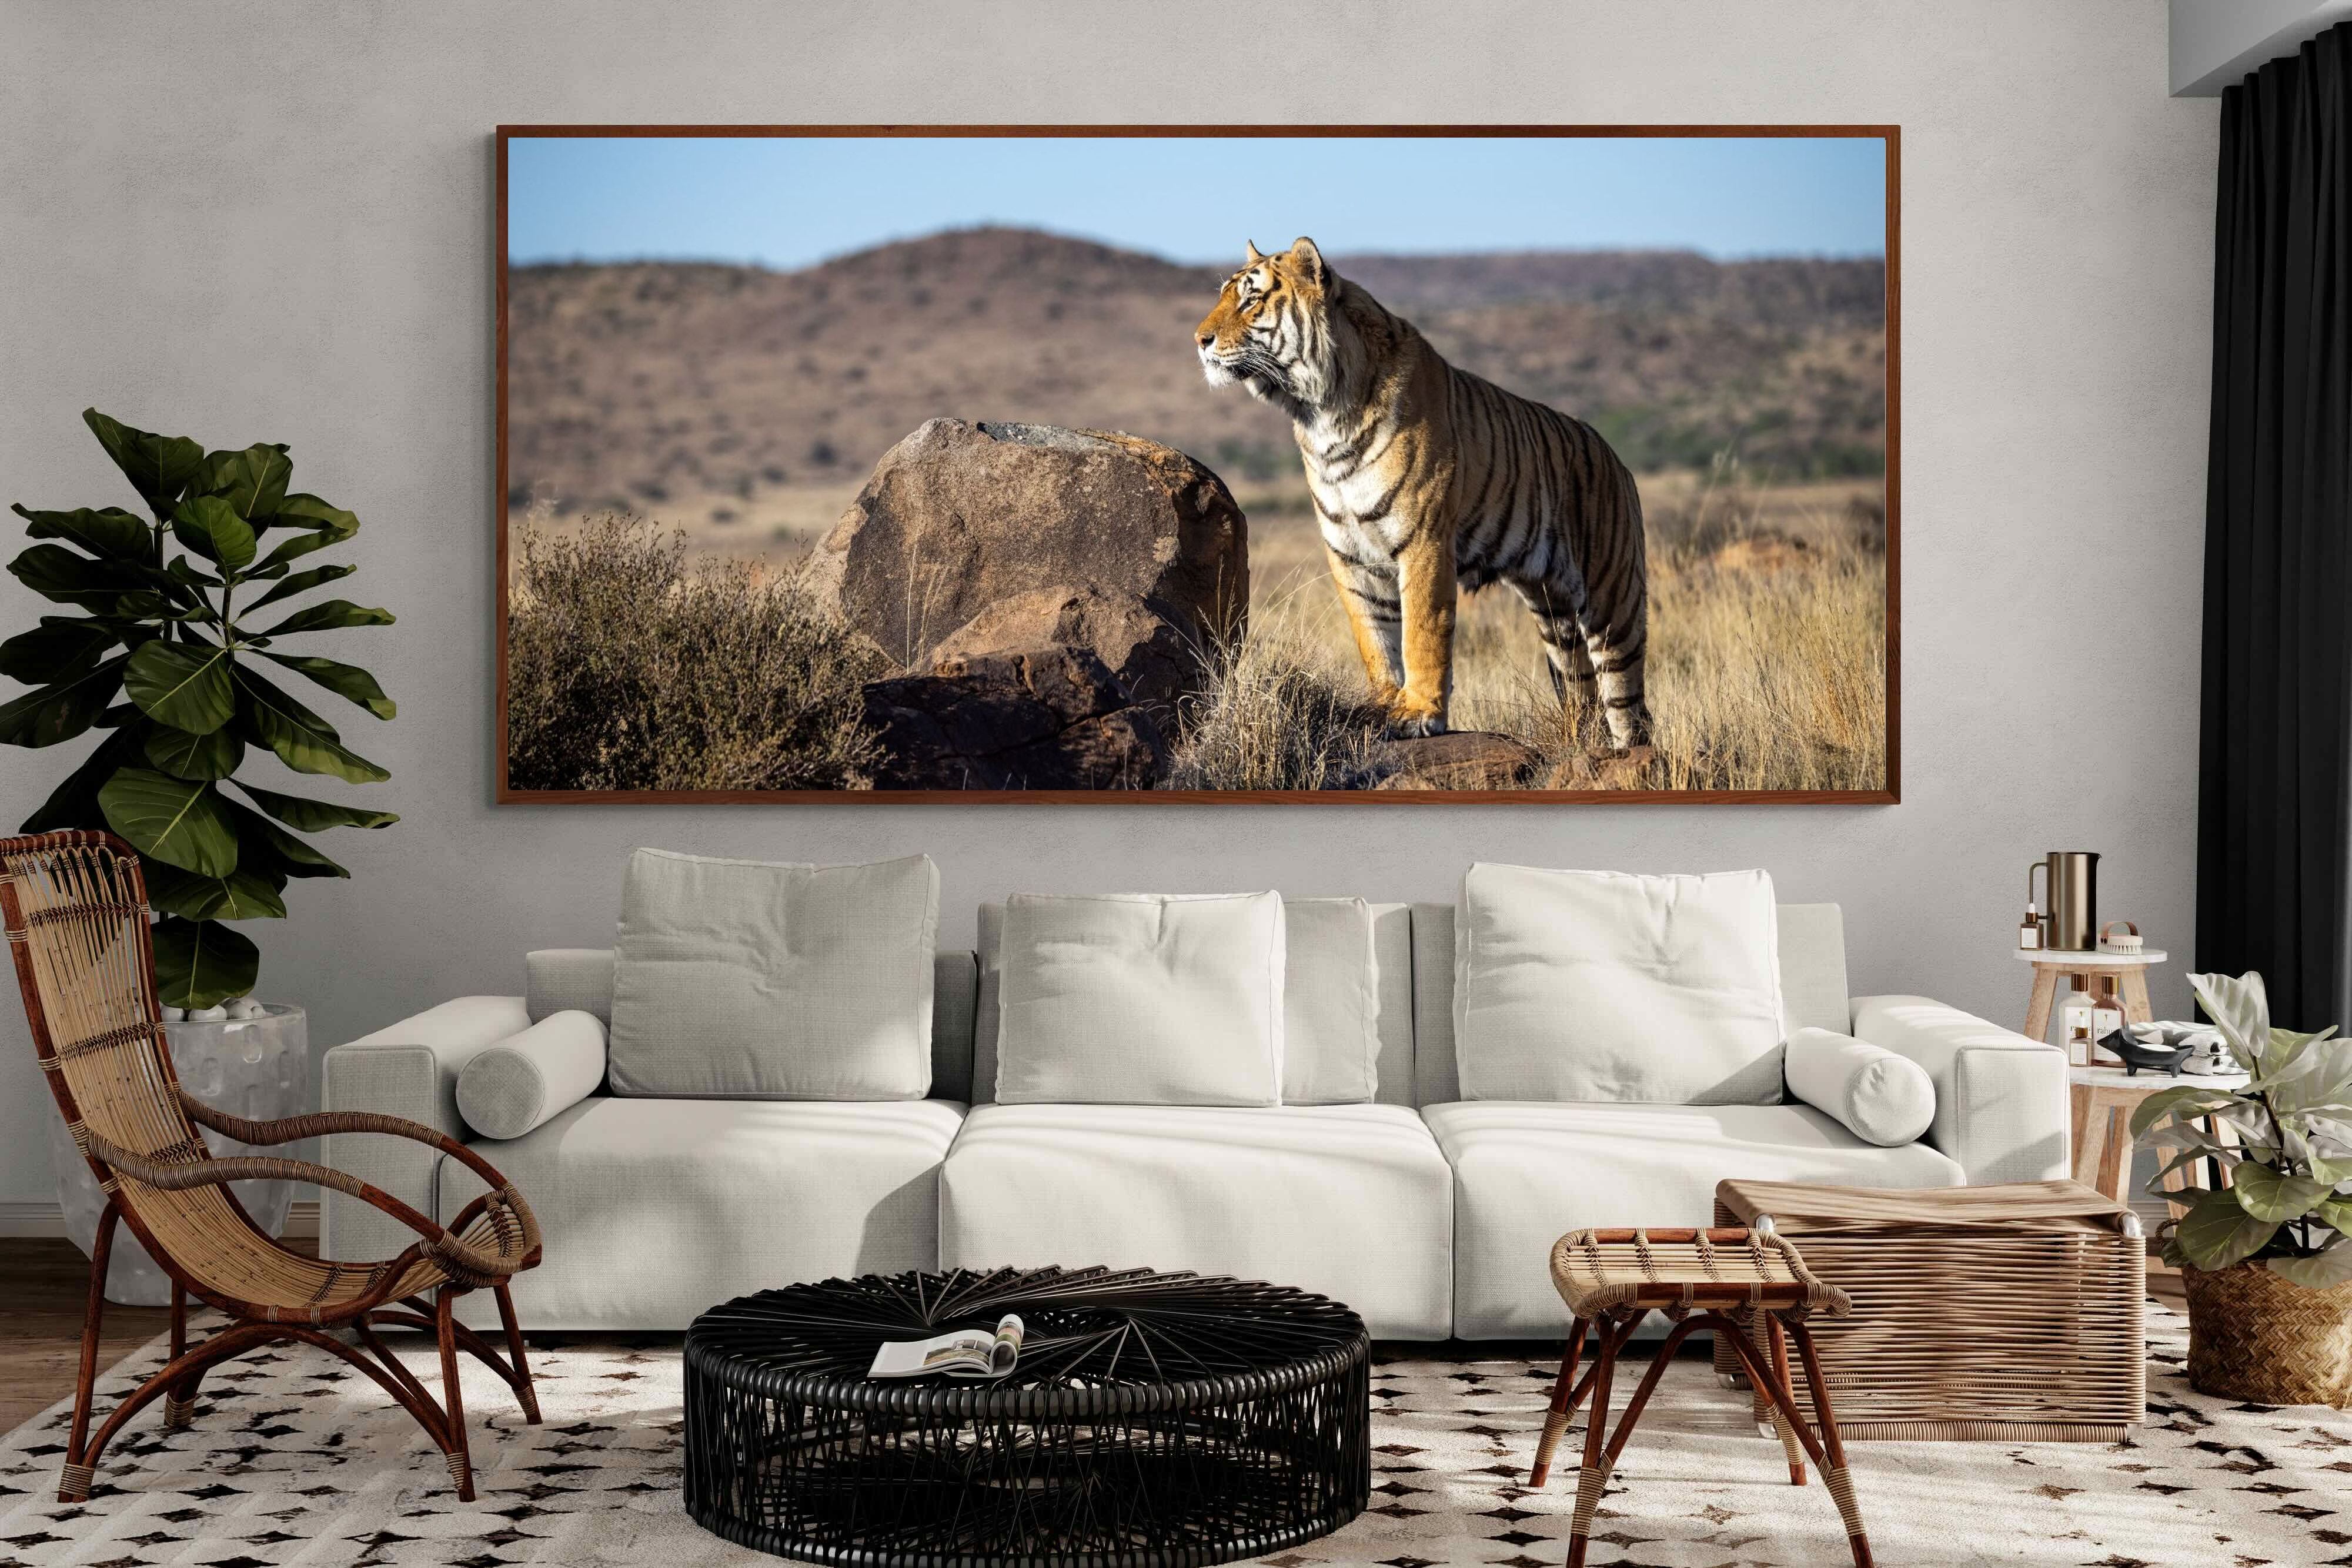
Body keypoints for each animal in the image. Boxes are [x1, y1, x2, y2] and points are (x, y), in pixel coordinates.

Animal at [1195, 237, 1651, 751]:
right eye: (1224, 295)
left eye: (1251, 300)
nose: (1199, 340)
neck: (1321, 415)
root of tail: (1617, 458)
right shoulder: (1349, 553)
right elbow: (1374, 638)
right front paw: (1382, 705)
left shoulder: (1424, 541)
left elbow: (1421, 632)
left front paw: (1419, 713)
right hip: (1555, 618)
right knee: (1582, 695)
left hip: (1612, 602)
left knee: (1630, 705)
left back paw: (1632, 754)